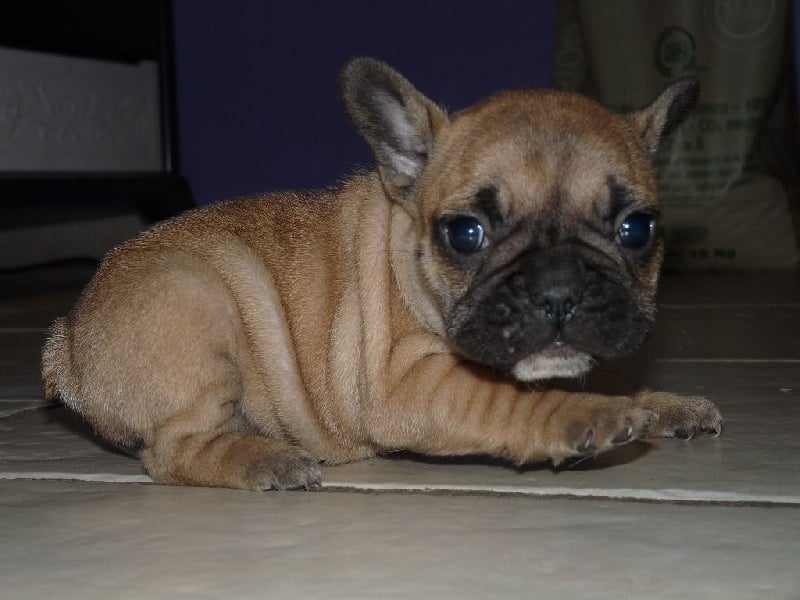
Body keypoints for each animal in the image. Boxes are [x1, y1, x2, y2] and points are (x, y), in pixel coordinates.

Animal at [42, 58, 722, 490]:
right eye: (466, 234)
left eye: (638, 230)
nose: (559, 289)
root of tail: (65, 341)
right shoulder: (409, 382)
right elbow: (510, 400)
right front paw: (589, 418)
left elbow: (585, 375)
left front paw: (657, 401)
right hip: (194, 298)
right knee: (172, 451)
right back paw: (266, 461)